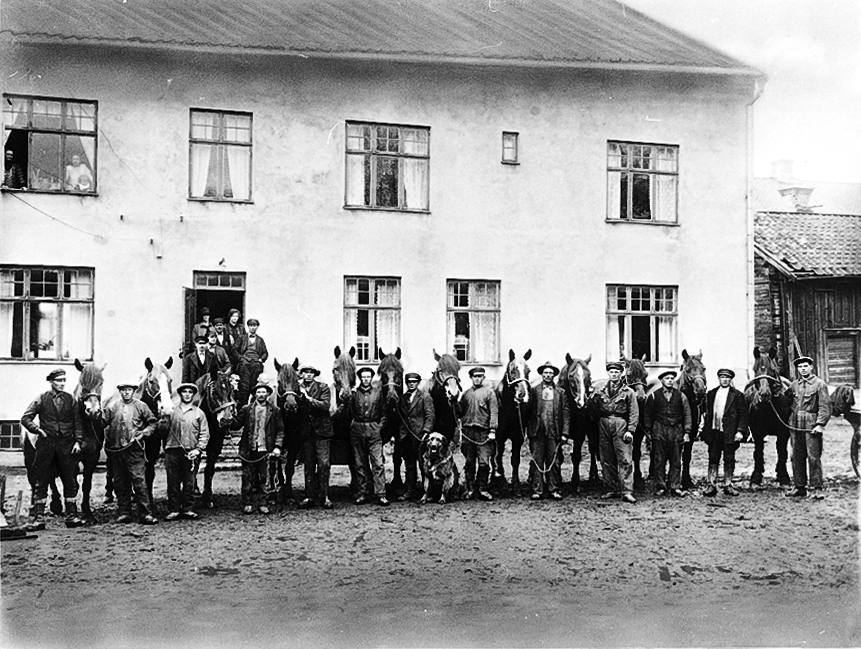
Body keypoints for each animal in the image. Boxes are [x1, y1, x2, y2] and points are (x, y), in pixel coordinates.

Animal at [135, 356, 174, 508]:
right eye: (151, 381)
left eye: (170, 380)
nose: (167, 408)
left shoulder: (154, 446)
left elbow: (150, 474)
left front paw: (150, 502)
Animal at [493, 348, 532, 494]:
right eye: (512, 370)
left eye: (528, 370)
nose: (522, 395)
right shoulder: (499, 436)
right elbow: (498, 457)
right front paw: (502, 482)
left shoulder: (518, 436)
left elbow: (515, 460)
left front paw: (516, 485)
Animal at [558, 353, 600, 491]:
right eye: (571, 376)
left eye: (589, 376)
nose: (581, 402)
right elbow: (559, 458)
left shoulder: (580, 434)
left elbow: (576, 456)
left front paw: (575, 482)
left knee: (593, 449)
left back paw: (594, 476)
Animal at [742, 346, 792, 486]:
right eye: (755, 369)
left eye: (773, 370)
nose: (764, 395)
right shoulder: (756, 432)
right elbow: (758, 452)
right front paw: (756, 477)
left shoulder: (783, 432)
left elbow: (782, 451)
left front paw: (783, 476)